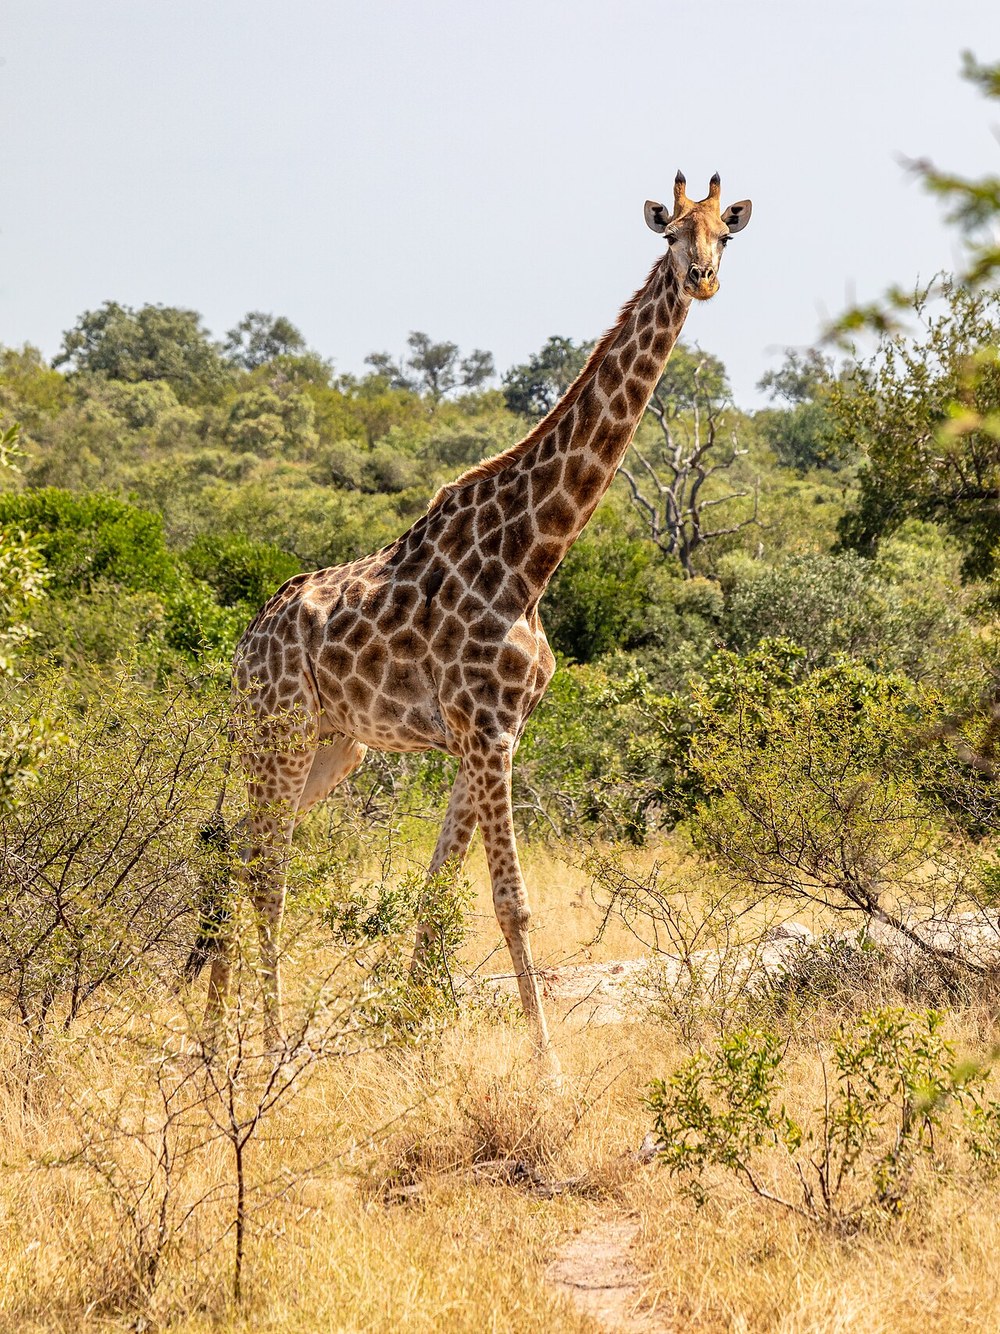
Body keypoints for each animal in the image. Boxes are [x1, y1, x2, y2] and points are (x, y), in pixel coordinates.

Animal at [205, 172, 752, 1074]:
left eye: (727, 235)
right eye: (672, 233)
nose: (703, 278)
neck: (534, 556)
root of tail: (246, 643)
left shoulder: (487, 736)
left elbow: (436, 893)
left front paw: (407, 1040)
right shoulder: (489, 732)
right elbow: (511, 901)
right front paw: (548, 1066)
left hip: (334, 745)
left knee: (238, 848)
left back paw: (215, 1041)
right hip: (276, 729)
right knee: (265, 869)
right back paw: (270, 1044)